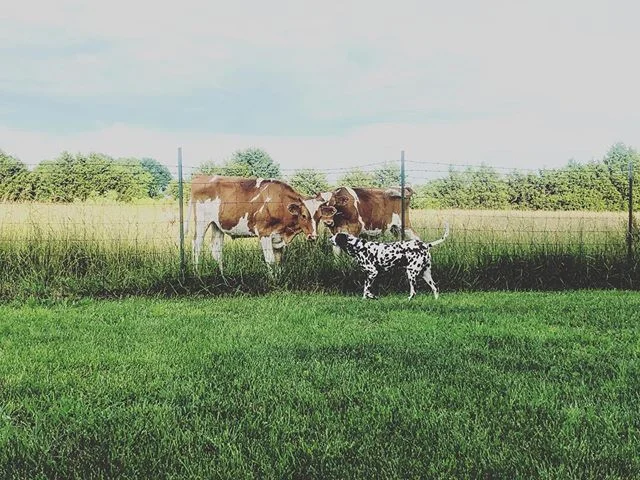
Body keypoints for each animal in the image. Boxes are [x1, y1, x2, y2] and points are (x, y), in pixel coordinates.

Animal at [185, 175, 320, 271]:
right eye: (303, 215)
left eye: (318, 217)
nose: (313, 236)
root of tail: (200, 177)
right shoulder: (264, 233)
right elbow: (270, 261)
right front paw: (273, 282)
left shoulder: (278, 237)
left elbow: (278, 262)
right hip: (202, 222)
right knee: (196, 245)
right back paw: (197, 273)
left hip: (217, 225)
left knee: (216, 250)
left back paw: (222, 276)